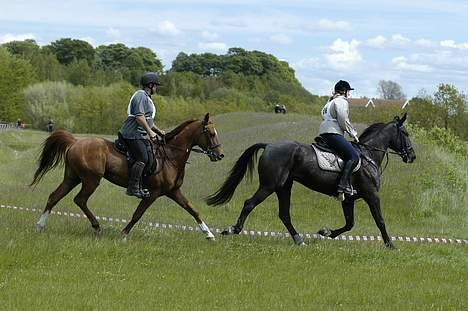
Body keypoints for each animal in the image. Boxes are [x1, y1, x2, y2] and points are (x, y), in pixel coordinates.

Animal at [32, 113, 224, 240]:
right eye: (211, 133)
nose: (220, 155)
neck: (171, 155)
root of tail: (75, 141)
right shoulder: (153, 193)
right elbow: (137, 214)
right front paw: (123, 234)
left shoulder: (174, 192)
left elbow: (192, 209)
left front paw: (209, 234)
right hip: (91, 180)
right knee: (80, 200)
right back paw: (97, 226)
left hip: (72, 178)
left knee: (54, 197)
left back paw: (40, 226)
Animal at [207, 114, 414, 249]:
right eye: (405, 133)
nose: (412, 156)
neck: (368, 155)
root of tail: (269, 145)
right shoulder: (372, 195)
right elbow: (379, 220)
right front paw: (391, 245)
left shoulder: (348, 199)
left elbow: (350, 223)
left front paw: (326, 232)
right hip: (269, 186)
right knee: (249, 204)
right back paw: (233, 229)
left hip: (284, 187)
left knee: (284, 214)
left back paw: (299, 240)